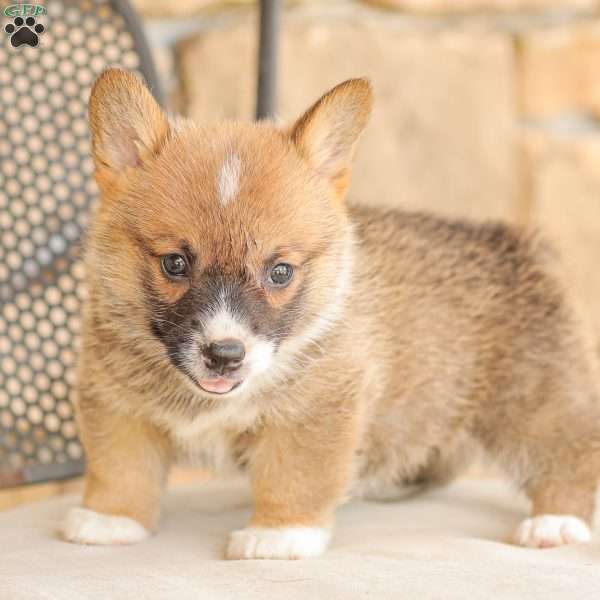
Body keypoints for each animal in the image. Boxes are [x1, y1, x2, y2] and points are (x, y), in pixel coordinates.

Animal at [61, 69, 600, 556]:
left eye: (280, 272)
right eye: (175, 263)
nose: (225, 355)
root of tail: (520, 243)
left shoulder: (316, 412)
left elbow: (295, 476)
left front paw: (279, 536)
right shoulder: (116, 404)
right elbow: (122, 467)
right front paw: (110, 520)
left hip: (535, 402)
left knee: (570, 452)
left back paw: (556, 522)